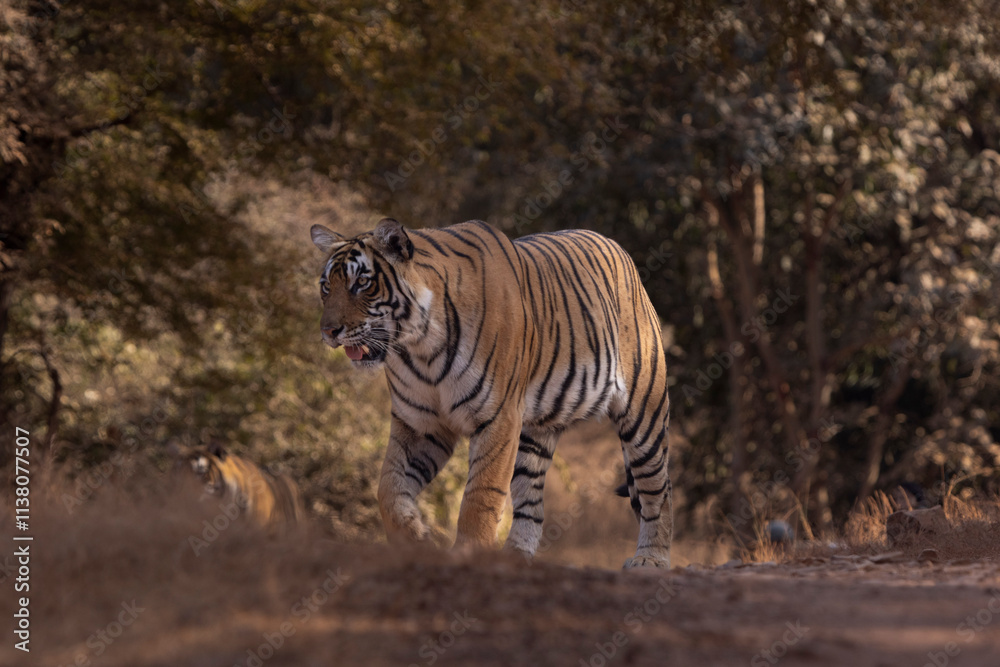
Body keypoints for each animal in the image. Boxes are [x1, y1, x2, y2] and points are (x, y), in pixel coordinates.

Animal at [309, 218, 672, 568]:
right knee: (531, 501)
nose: (328, 331)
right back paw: (515, 555)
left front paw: (470, 552)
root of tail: (617, 248)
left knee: (657, 489)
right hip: (534, 434)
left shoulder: (498, 418)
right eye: (326, 286)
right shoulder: (421, 425)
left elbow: (481, 494)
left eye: (362, 283)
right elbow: (388, 488)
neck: (420, 347)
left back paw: (651, 559)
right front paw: (416, 539)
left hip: (644, 415)